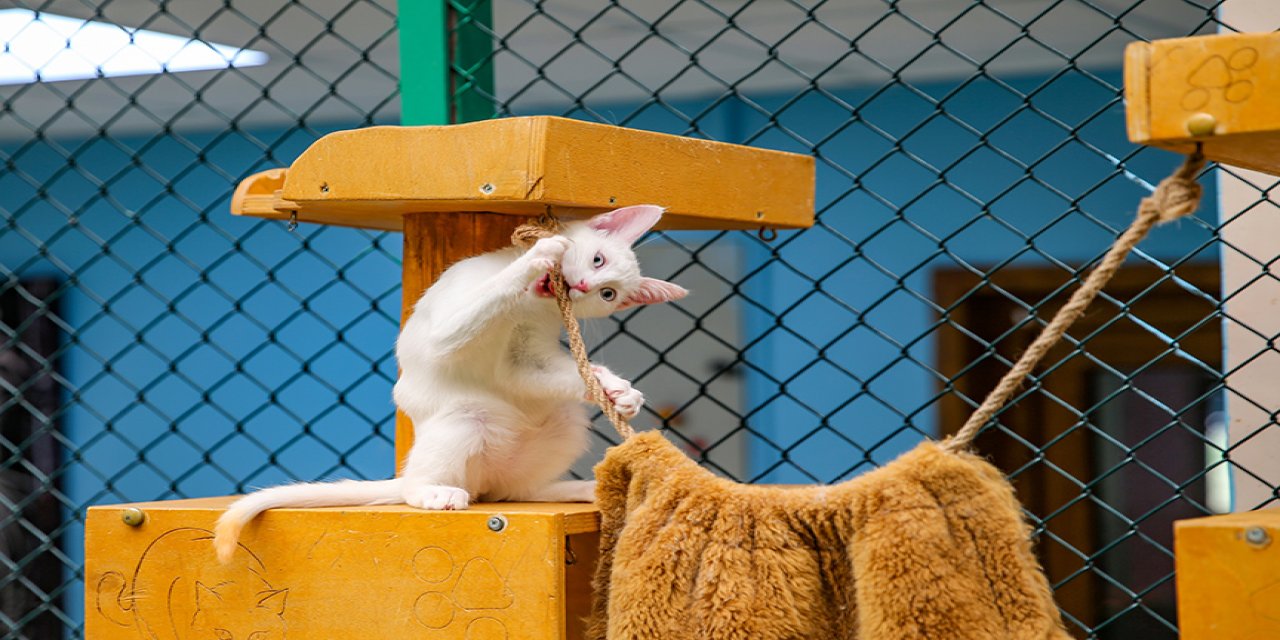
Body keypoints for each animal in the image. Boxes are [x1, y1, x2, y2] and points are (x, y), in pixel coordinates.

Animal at [212, 204, 691, 560]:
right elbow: (483, 301)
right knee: (418, 487)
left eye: (608, 294)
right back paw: (433, 493)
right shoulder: (449, 323)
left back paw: (574, 488)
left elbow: (548, 373)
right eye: (597, 259)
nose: (585, 285)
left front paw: (616, 390)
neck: (528, 307)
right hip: (464, 420)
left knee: (515, 492)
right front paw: (539, 254)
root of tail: (480, 480)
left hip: (561, 426)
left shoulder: (525, 362)